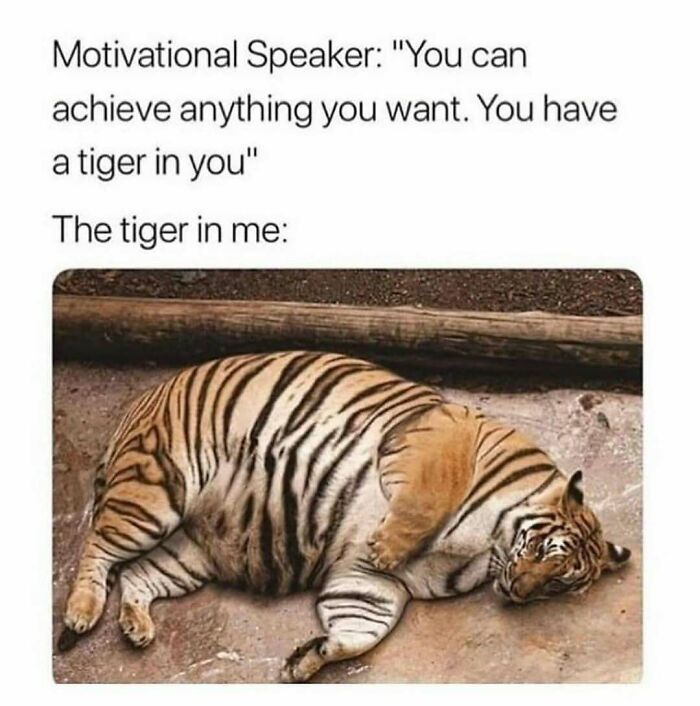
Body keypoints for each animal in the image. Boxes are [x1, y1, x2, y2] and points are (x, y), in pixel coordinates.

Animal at [57, 351, 631, 682]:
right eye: (543, 551)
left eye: (559, 583)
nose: (520, 593)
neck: (490, 550)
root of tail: (140, 402)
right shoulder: (437, 437)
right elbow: (427, 498)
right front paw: (388, 544)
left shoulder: (373, 584)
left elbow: (362, 627)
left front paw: (308, 658)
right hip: (155, 493)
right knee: (97, 547)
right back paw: (81, 612)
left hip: (188, 551)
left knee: (136, 575)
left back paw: (135, 627)